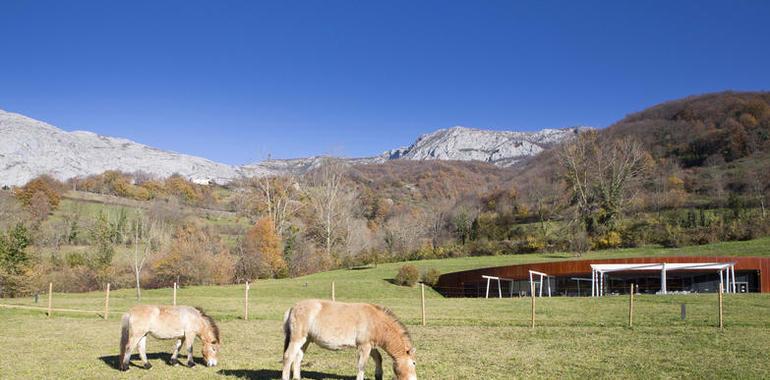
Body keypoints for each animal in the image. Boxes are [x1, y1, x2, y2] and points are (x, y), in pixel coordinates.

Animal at [280, 300, 414, 380]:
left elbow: (378, 358)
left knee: (297, 358)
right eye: (414, 363)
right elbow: (362, 365)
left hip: (306, 340)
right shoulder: (364, 346)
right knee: (288, 357)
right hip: (297, 339)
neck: (375, 321)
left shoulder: (369, 345)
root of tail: (293, 308)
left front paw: (378, 376)